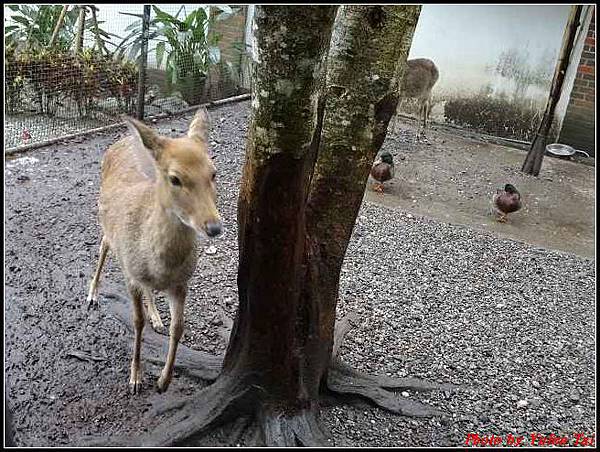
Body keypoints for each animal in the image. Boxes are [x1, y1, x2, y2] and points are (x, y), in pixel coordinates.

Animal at [85, 107, 221, 394]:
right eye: (175, 178)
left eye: (213, 173)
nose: (214, 227)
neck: (162, 267)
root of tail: (121, 140)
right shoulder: (130, 275)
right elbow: (137, 322)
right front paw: (135, 379)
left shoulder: (182, 283)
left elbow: (178, 327)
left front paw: (163, 381)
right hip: (106, 225)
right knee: (103, 246)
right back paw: (92, 295)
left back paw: (157, 316)